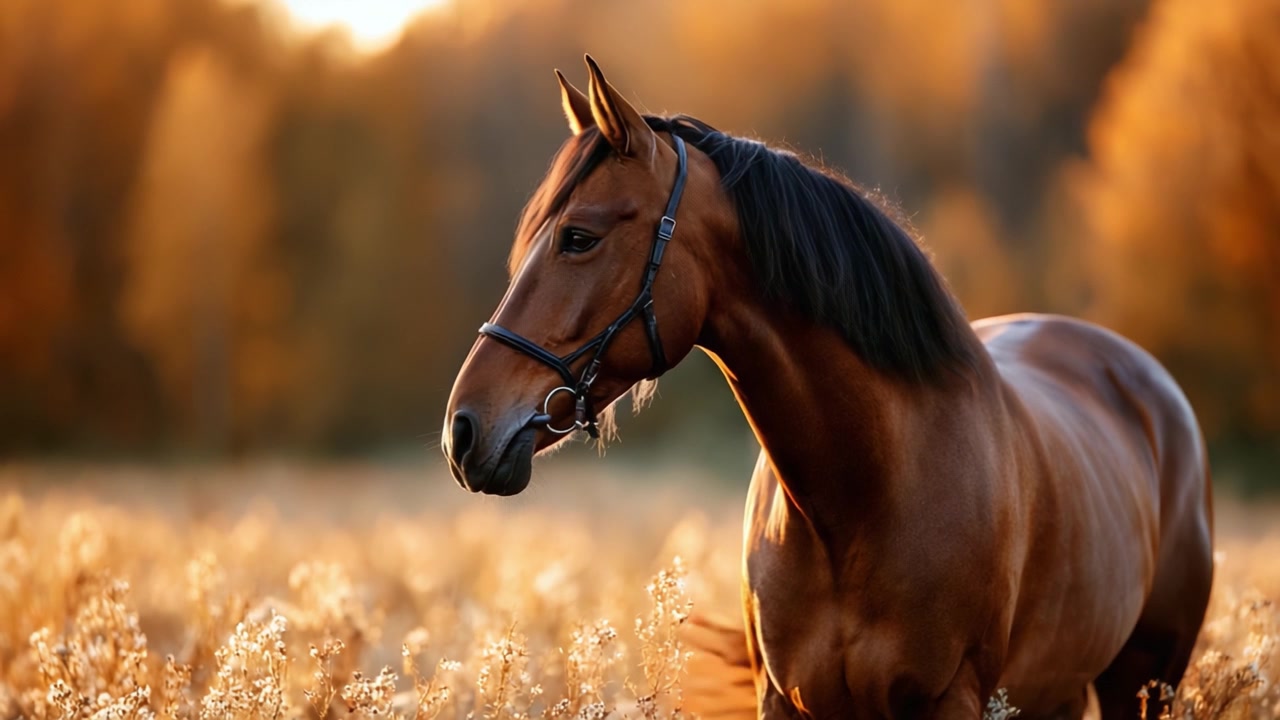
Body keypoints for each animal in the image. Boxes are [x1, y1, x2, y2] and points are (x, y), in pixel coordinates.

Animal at [441, 56, 1214, 719]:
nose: (462, 431)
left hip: (1143, 684)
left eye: (578, 237)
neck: (862, 495)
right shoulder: (786, 700)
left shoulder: (952, 699)